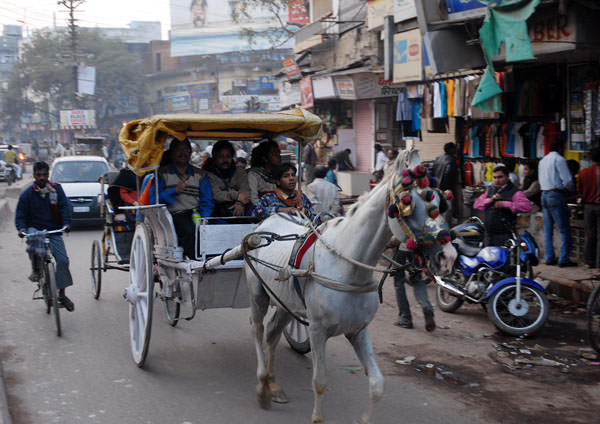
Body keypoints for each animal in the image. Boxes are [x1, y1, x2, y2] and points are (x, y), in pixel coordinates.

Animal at [243, 151, 454, 422]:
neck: (348, 268)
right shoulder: (317, 330)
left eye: (439, 200)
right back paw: (262, 386)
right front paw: (317, 416)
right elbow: (320, 381)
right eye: (408, 204)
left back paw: (274, 386)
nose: (448, 256)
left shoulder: (358, 330)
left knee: (271, 334)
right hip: (258, 293)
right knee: (257, 330)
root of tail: (270, 218)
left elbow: (377, 384)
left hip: (285, 301)